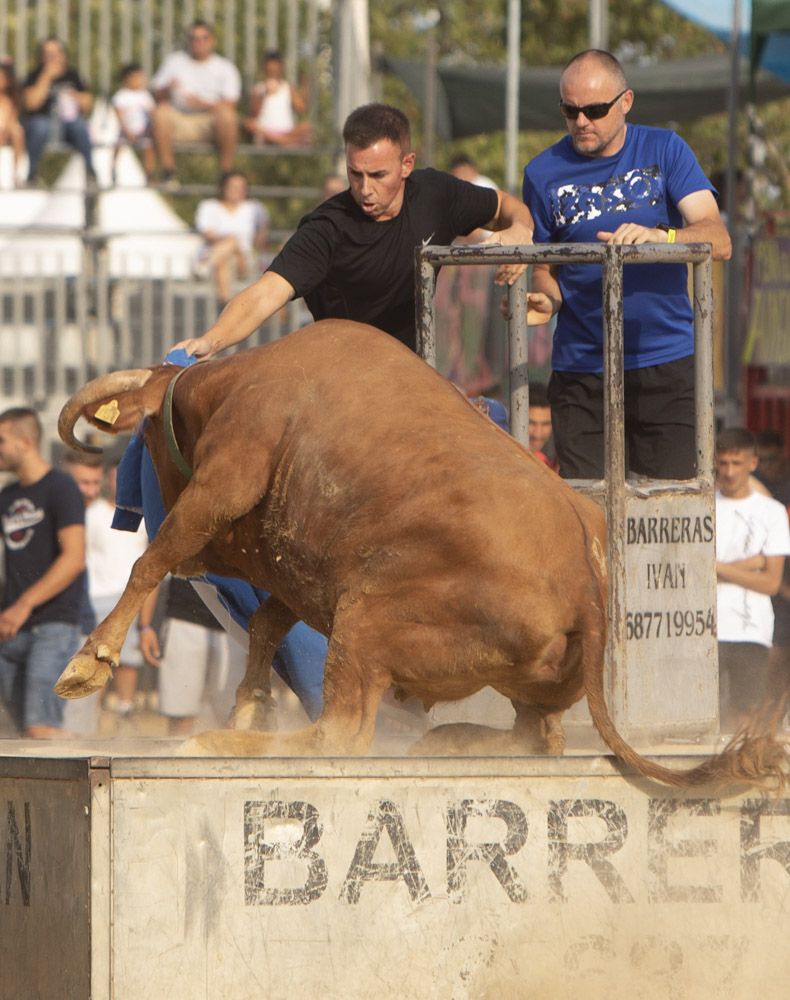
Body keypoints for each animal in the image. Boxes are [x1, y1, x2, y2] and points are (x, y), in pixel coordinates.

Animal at [57, 320, 790, 788]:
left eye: (147, 438)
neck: (233, 385)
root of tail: (584, 577)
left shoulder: (227, 480)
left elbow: (153, 562)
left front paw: (90, 661)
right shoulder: (299, 571)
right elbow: (265, 623)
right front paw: (250, 700)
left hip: (365, 621)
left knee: (341, 733)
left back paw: (217, 741)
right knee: (537, 737)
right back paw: (454, 738)